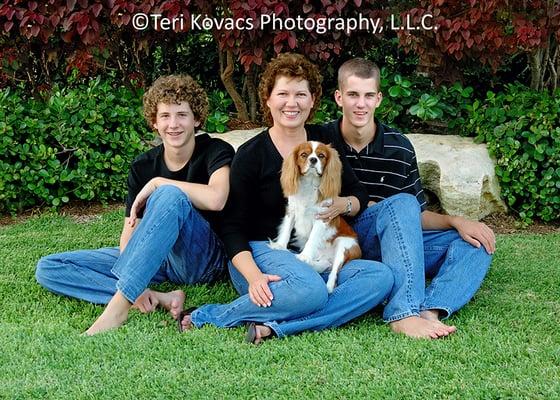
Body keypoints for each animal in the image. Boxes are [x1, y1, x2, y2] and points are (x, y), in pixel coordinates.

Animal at [272, 142, 364, 292]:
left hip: (344, 244)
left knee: (333, 273)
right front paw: (280, 246)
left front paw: (304, 256)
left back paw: (328, 287)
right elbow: (286, 230)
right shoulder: (292, 211)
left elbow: (312, 239)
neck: (309, 183)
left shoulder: (322, 217)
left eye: (321, 156)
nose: (313, 160)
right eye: (304, 155)